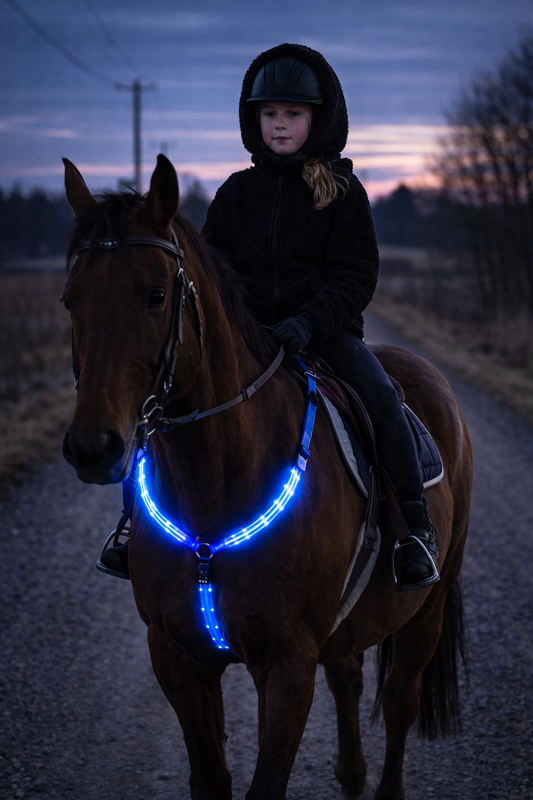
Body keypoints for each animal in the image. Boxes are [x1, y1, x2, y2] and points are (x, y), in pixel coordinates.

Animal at [61, 154, 473, 800]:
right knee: (349, 675)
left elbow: (267, 780)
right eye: (69, 300)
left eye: (156, 295)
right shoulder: (178, 657)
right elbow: (212, 778)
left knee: (400, 701)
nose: (92, 448)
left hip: (426, 609)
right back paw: (350, 774)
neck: (215, 488)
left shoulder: (285, 664)